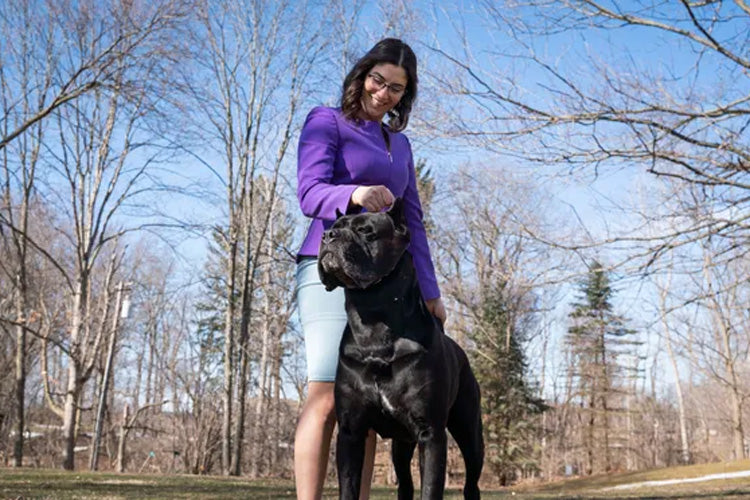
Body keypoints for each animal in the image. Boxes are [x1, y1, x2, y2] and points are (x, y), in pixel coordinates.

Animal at [318, 199, 488, 500]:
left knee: (471, 482)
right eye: (333, 226)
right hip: (401, 444)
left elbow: (430, 488)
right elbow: (349, 487)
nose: (327, 236)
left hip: (470, 434)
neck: (374, 325)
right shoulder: (351, 431)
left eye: (366, 231)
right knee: (406, 484)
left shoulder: (431, 433)